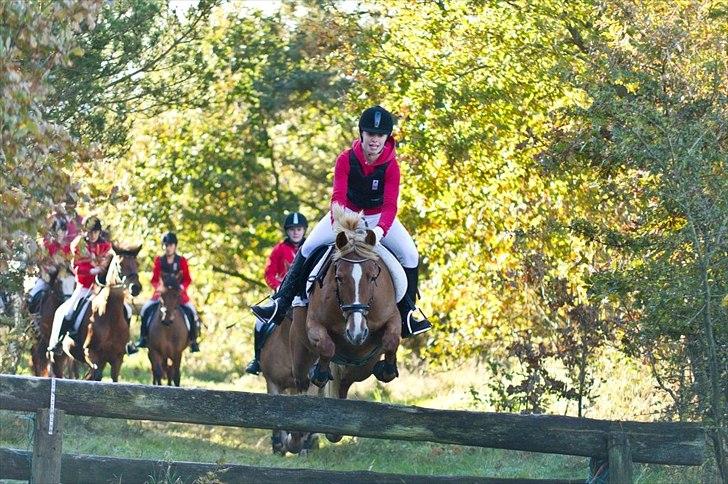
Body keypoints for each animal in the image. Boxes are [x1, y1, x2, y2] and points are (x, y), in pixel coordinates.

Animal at [50, 246, 142, 382]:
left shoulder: (117, 358)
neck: (110, 316)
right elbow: (97, 376)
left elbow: (114, 379)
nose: (135, 287)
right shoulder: (91, 353)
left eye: (137, 264)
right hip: (58, 358)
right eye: (119, 265)